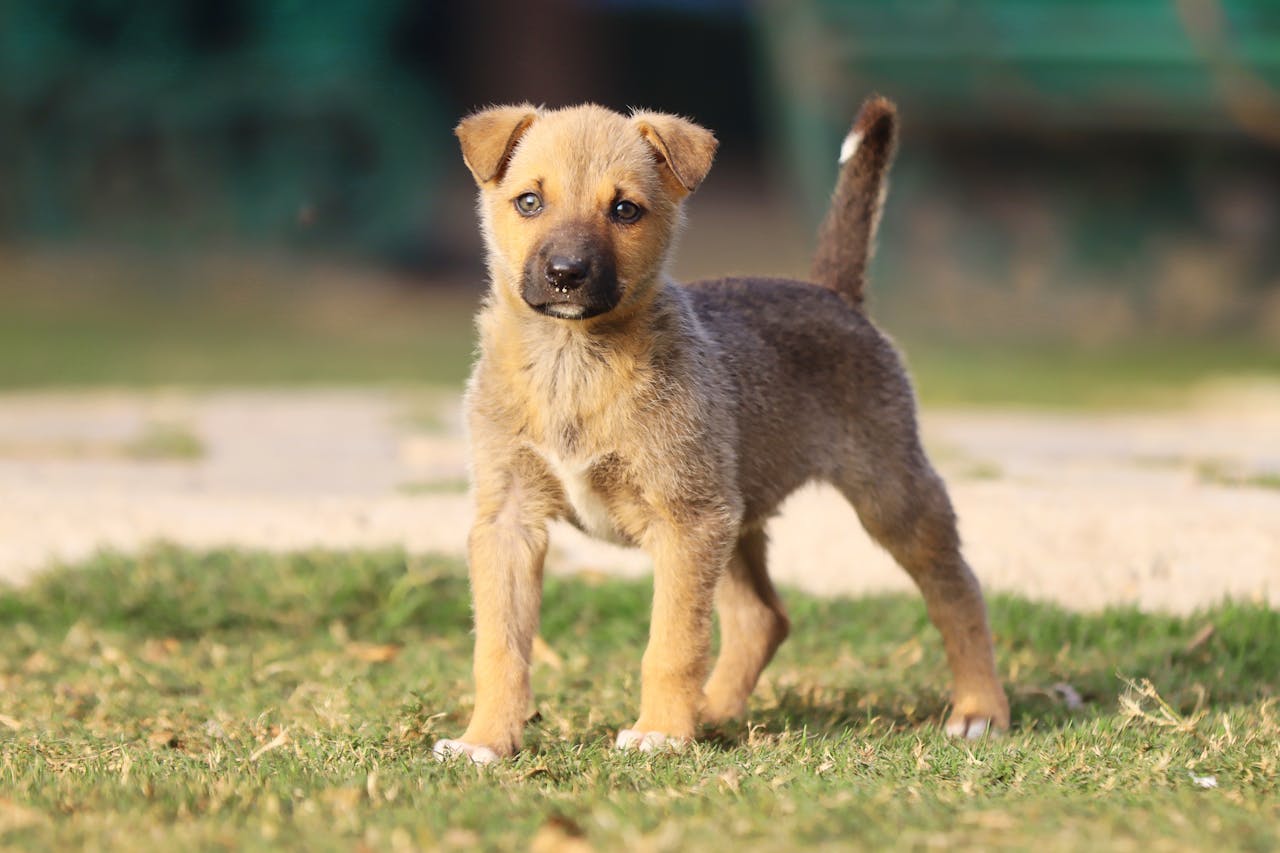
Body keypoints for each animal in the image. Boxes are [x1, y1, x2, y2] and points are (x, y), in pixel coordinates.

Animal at [437, 96, 1008, 758]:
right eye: (529, 201)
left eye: (625, 209)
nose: (565, 273)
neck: (572, 363)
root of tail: (835, 294)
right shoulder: (508, 520)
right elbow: (499, 646)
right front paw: (484, 740)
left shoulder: (685, 521)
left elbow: (671, 644)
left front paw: (660, 731)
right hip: (736, 516)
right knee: (763, 618)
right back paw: (709, 712)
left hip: (889, 495)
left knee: (956, 591)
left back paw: (980, 709)